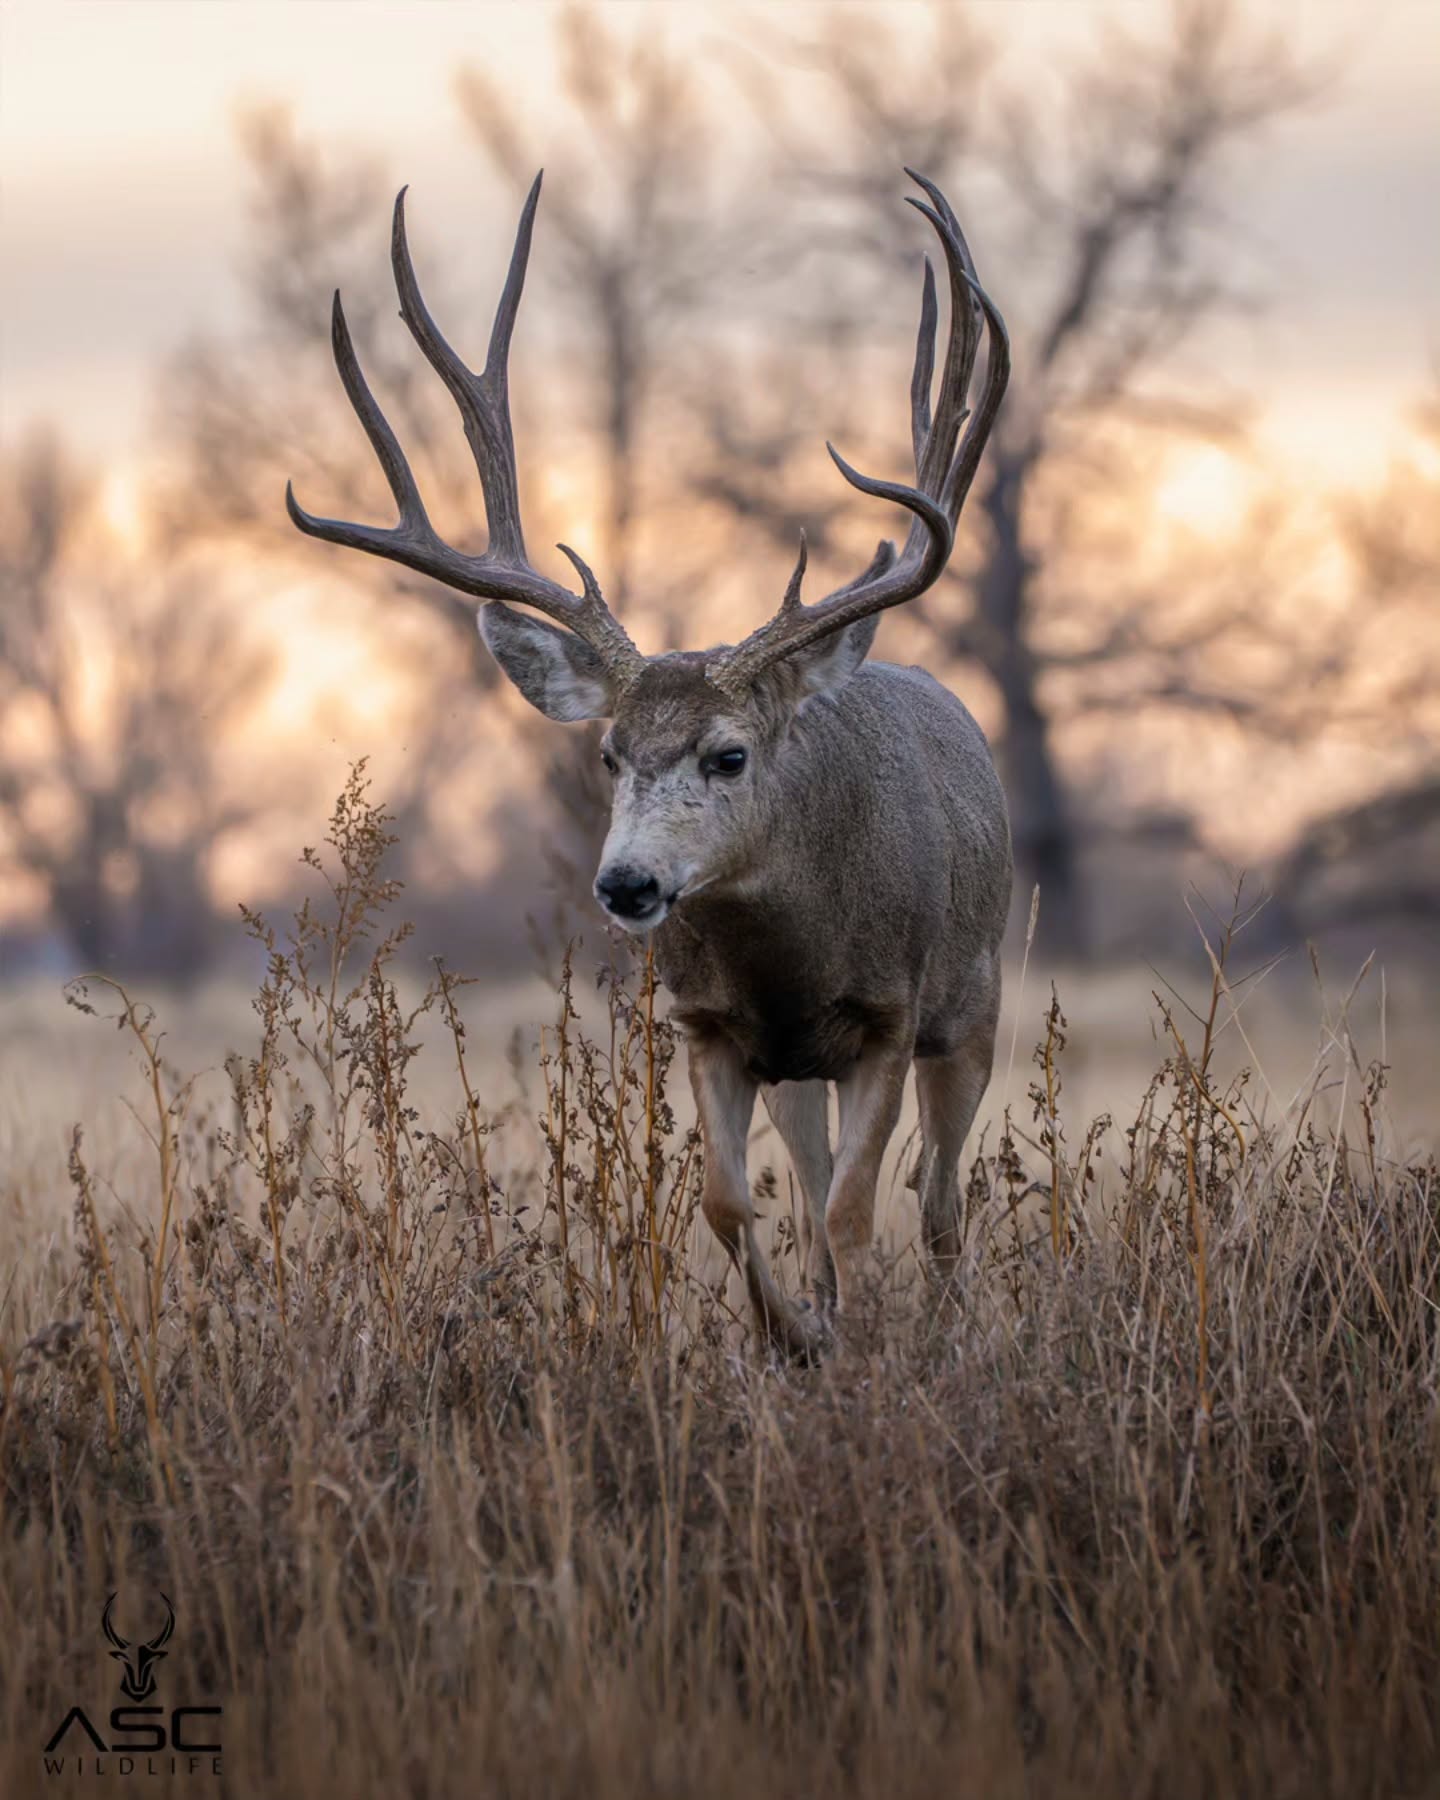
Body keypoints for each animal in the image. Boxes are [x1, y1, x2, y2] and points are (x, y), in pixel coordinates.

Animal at [287, 170, 1011, 1356]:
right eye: (609, 753)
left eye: (730, 754)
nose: (627, 883)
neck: (791, 952)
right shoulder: (713, 1028)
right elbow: (730, 1204)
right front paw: (794, 1334)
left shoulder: (887, 1017)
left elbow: (861, 1209)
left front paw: (858, 1344)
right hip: (802, 1069)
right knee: (819, 1178)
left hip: (974, 1001)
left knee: (944, 1199)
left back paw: (947, 1321)